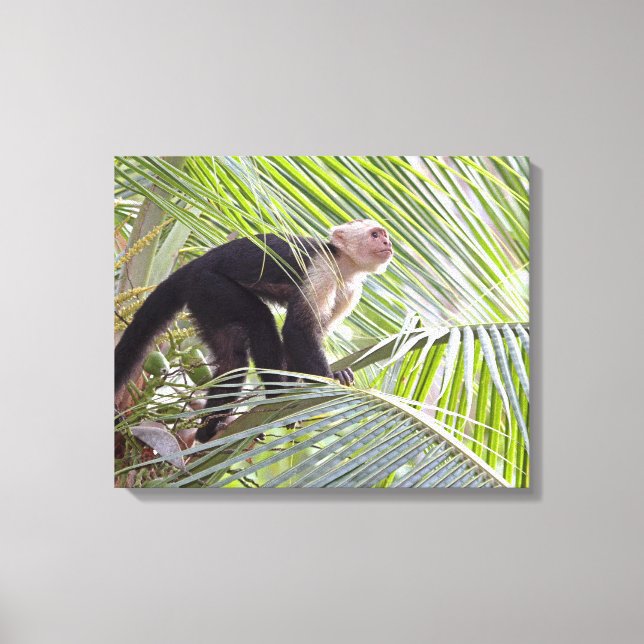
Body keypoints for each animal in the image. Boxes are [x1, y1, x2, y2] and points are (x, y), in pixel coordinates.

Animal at [115, 219, 393, 443]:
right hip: (210, 284)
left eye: (384, 235)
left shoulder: (351, 291)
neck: (343, 267)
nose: (388, 242)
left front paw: (304, 382)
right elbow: (297, 330)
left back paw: (208, 431)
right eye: (375, 234)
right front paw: (328, 377)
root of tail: (195, 264)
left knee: (232, 359)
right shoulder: (322, 268)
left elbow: (309, 335)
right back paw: (273, 396)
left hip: (204, 301)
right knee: (260, 321)